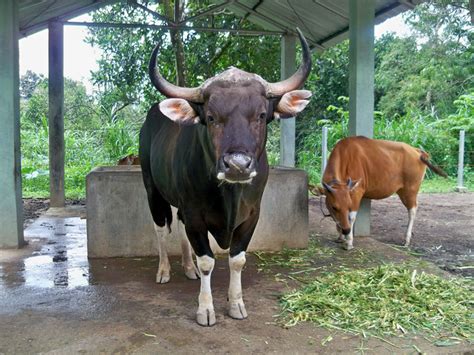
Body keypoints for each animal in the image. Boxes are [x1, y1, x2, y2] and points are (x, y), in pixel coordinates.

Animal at [139, 29, 312, 326]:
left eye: (262, 115)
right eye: (211, 117)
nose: (237, 165)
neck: (229, 194)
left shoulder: (252, 215)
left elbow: (237, 259)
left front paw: (236, 303)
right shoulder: (195, 214)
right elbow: (208, 260)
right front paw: (206, 308)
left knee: (180, 229)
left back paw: (188, 268)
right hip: (152, 189)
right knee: (161, 228)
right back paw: (164, 271)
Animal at [316, 136, 446, 250]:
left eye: (348, 205)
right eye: (334, 207)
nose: (346, 230)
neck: (345, 156)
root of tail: (418, 152)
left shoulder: (357, 192)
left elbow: (351, 217)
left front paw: (349, 242)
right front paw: (341, 237)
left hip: (410, 189)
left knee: (412, 210)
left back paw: (407, 239)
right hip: (402, 190)